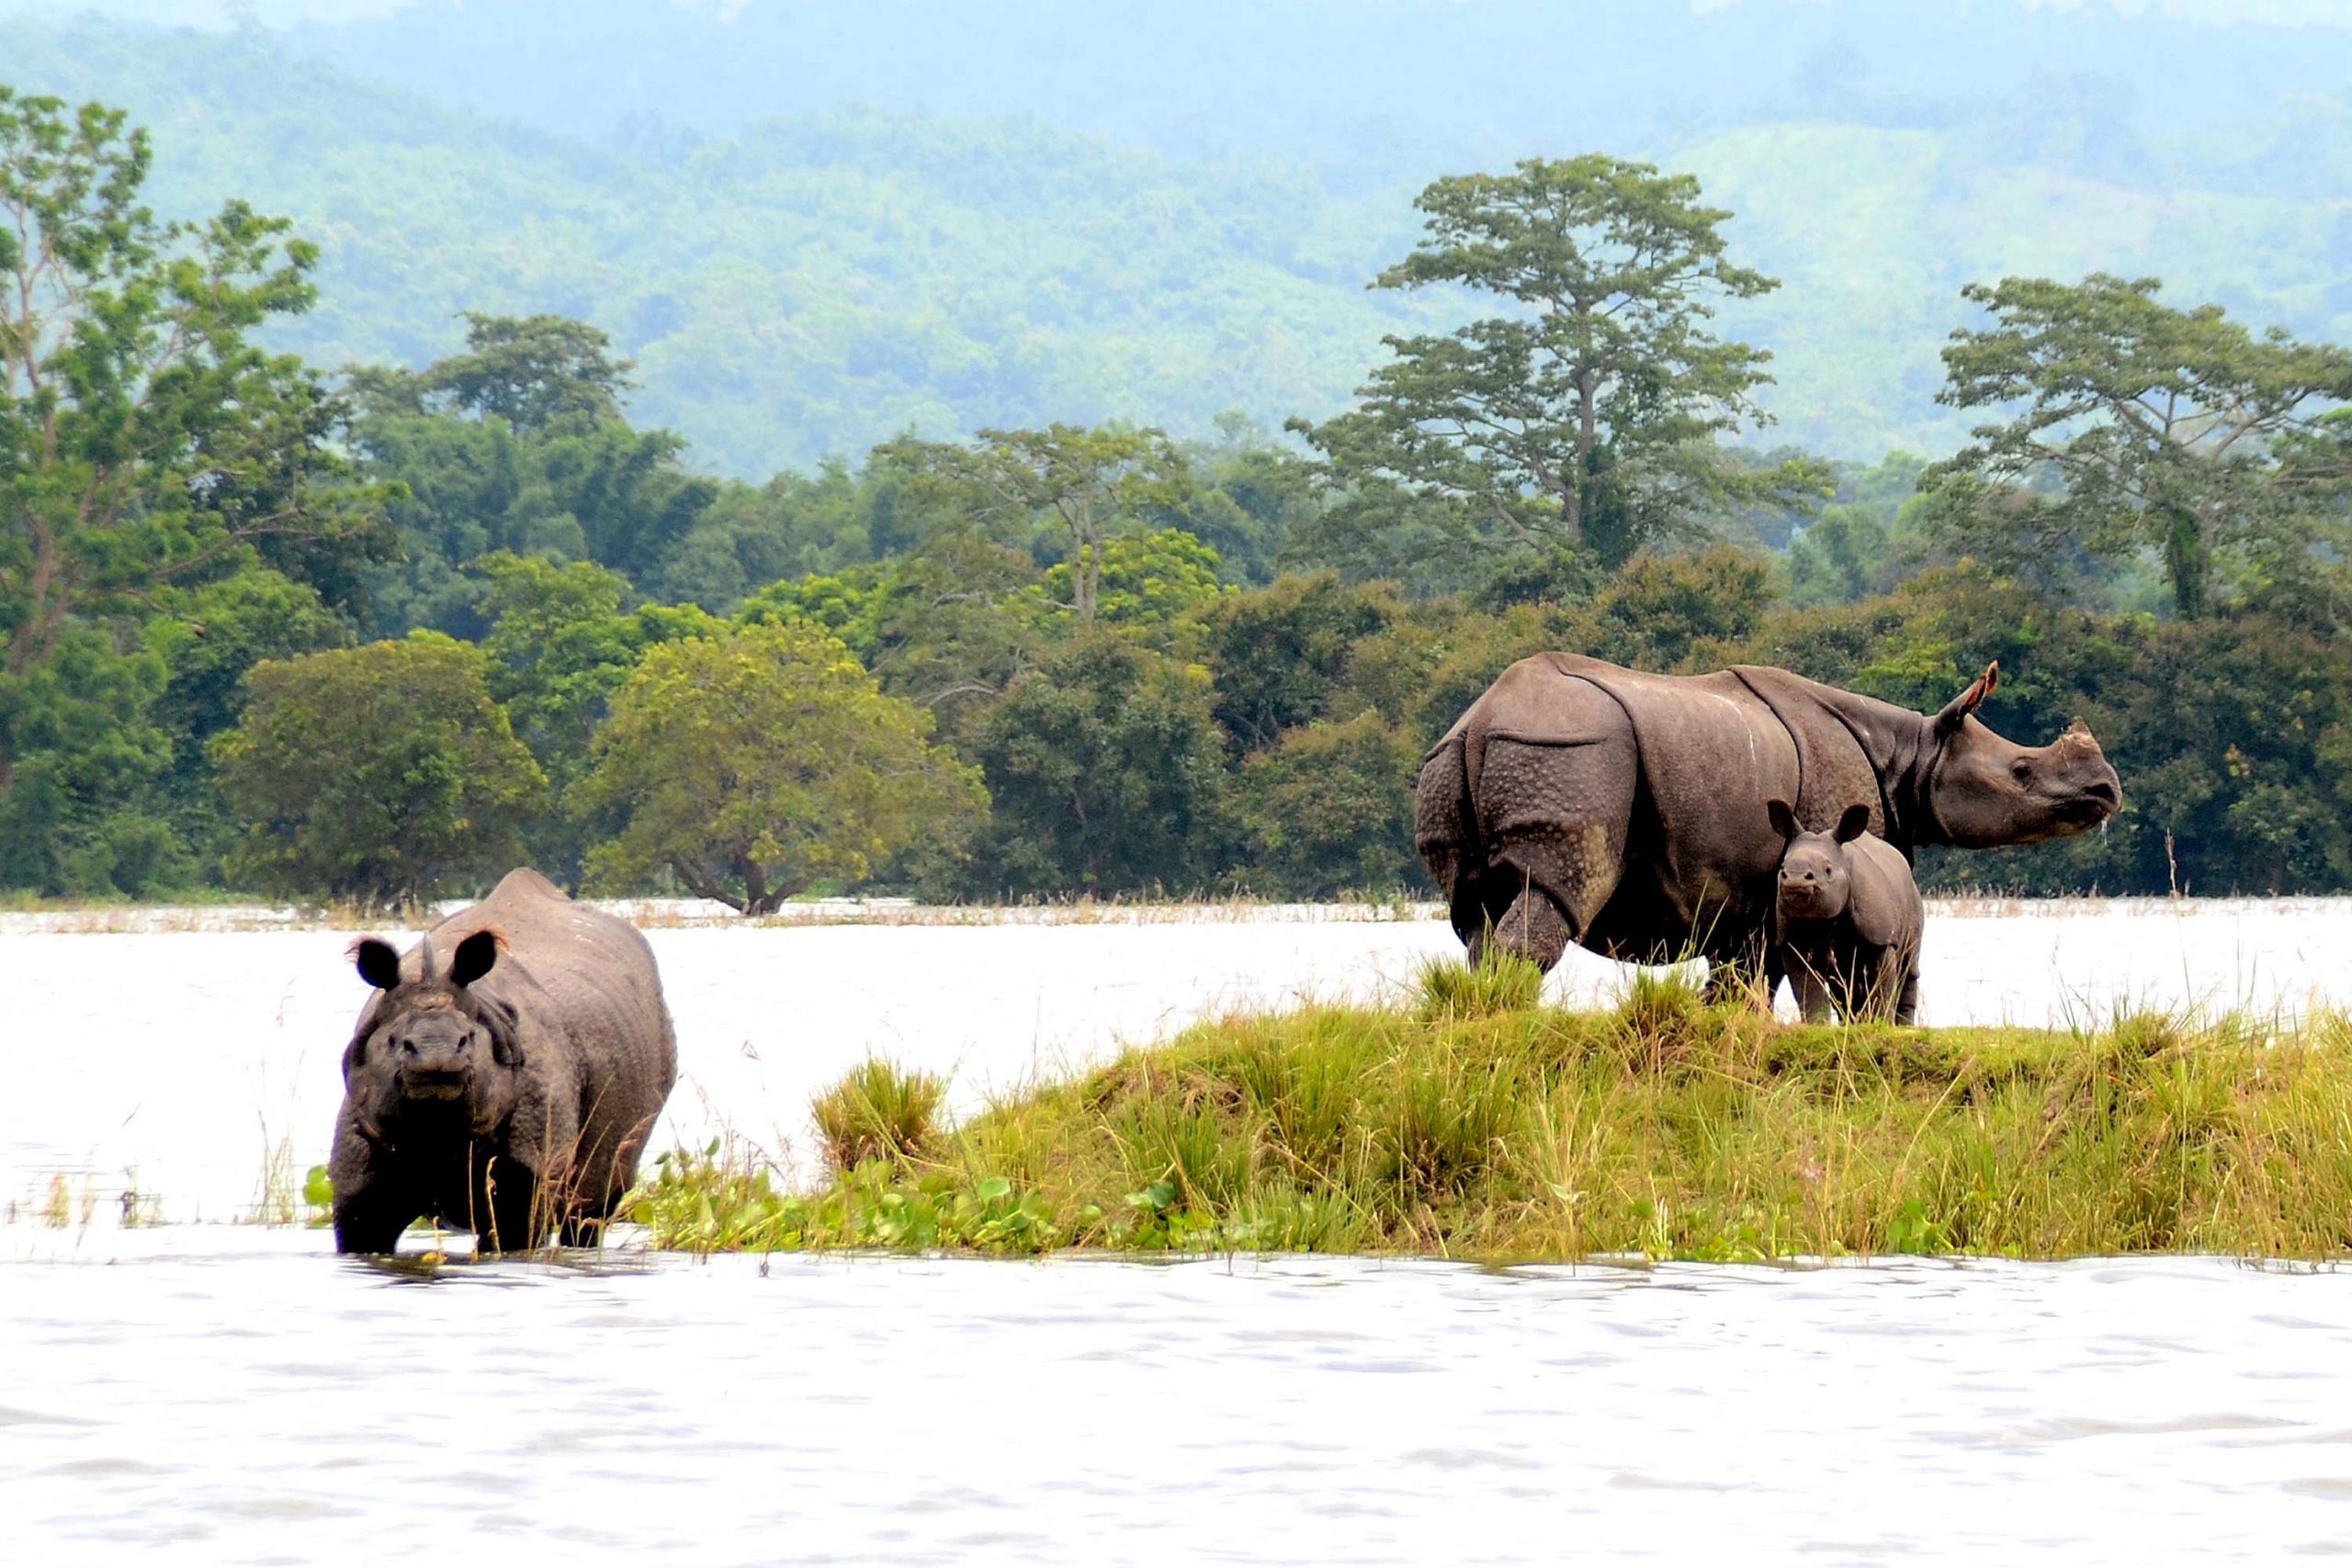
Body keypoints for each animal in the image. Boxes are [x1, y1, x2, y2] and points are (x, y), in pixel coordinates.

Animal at [322, 864, 677, 1259]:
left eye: (469, 1038)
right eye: (395, 1042)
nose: (436, 1058)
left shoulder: (531, 1165)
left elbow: (514, 1225)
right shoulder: (361, 1156)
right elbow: (363, 1225)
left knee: (590, 1210)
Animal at [1411, 658, 2135, 987]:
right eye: (2022, 771)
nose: (2107, 791)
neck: (1911, 754)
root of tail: (1479, 719)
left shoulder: (1747, 896)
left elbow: (1740, 977)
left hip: (1458, 762)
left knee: (1474, 914)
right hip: (1572, 752)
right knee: (1558, 890)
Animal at [1769, 799, 1918, 1029]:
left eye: (1828, 870)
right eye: (1782, 868)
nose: (1795, 879)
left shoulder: (1881, 937)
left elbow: (1882, 988)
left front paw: (1879, 1023)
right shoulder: (1791, 940)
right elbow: (1807, 990)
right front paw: (1817, 1026)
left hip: (1913, 897)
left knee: (1909, 968)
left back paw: (1904, 1027)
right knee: (1843, 984)